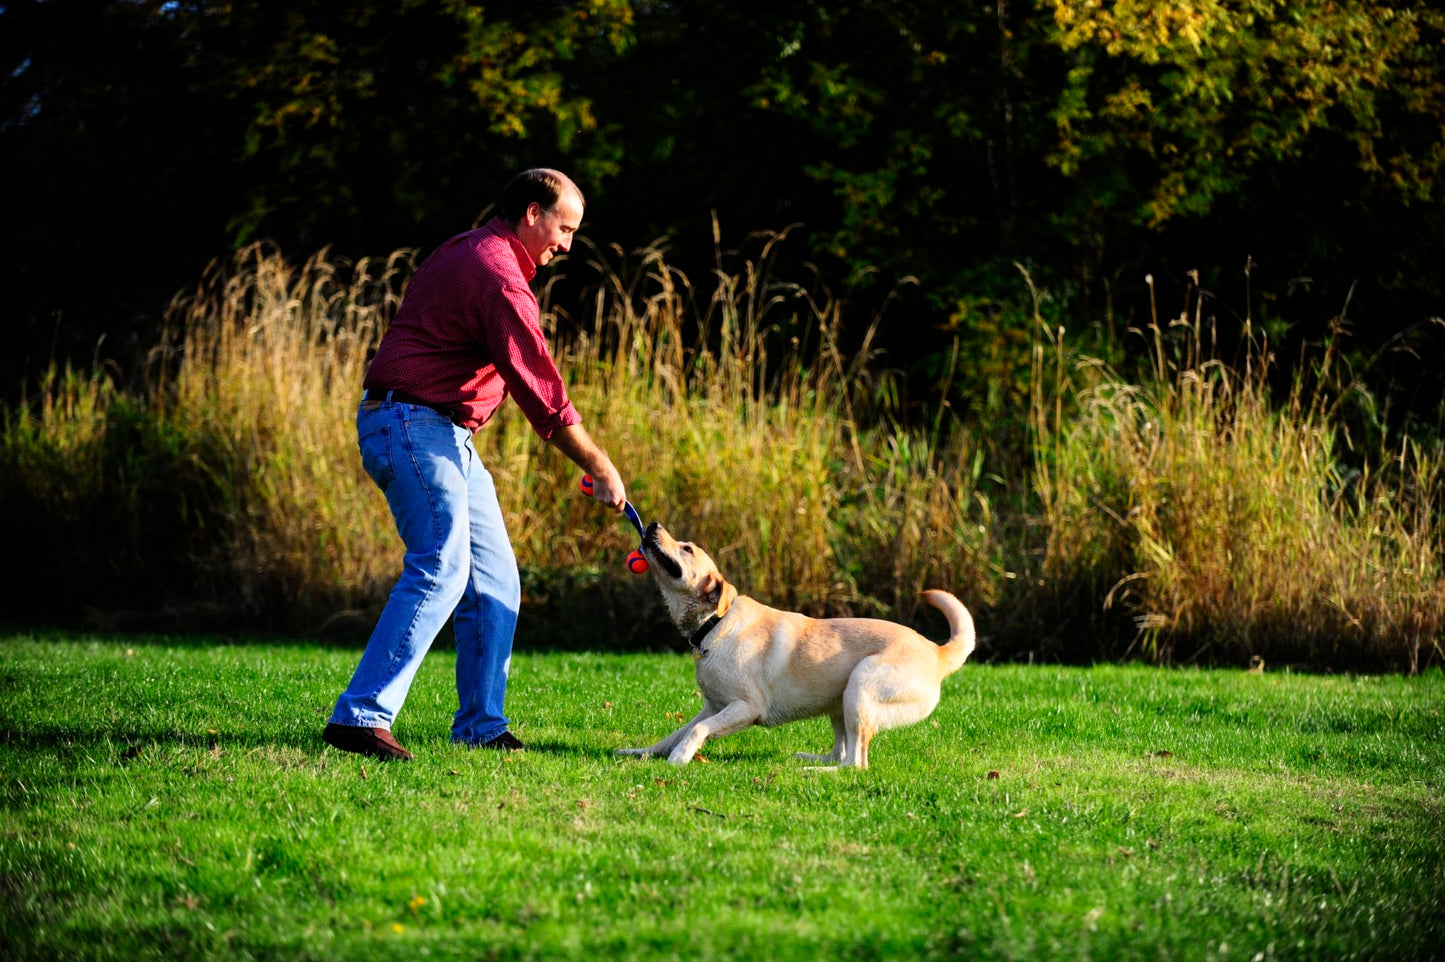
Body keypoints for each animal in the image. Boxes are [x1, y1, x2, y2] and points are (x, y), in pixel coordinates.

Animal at [617, 521, 976, 769]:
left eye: (687, 548)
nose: (653, 525)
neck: (714, 625)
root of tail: (936, 651)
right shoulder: (714, 706)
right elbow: (675, 733)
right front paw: (641, 752)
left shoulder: (746, 707)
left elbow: (696, 731)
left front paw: (679, 757)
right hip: (839, 702)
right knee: (841, 752)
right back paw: (811, 759)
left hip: (860, 685)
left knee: (855, 763)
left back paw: (813, 772)